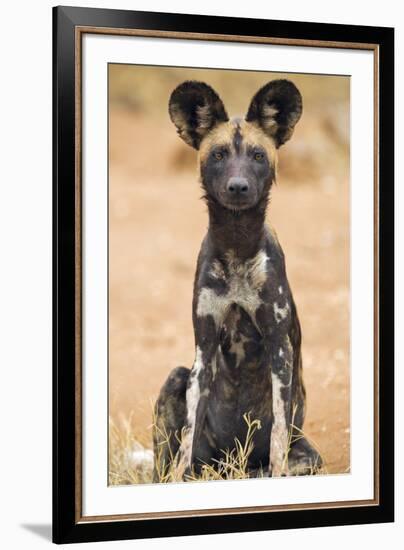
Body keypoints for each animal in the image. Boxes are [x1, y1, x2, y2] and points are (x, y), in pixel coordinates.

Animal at [152, 80, 322, 480]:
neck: (237, 245)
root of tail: (232, 466)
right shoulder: (203, 349)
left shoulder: (279, 349)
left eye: (258, 156)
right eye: (218, 155)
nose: (238, 186)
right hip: (178, 379)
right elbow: (186, 442)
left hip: (307, 455)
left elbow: (277, 436)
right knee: (170, 465)